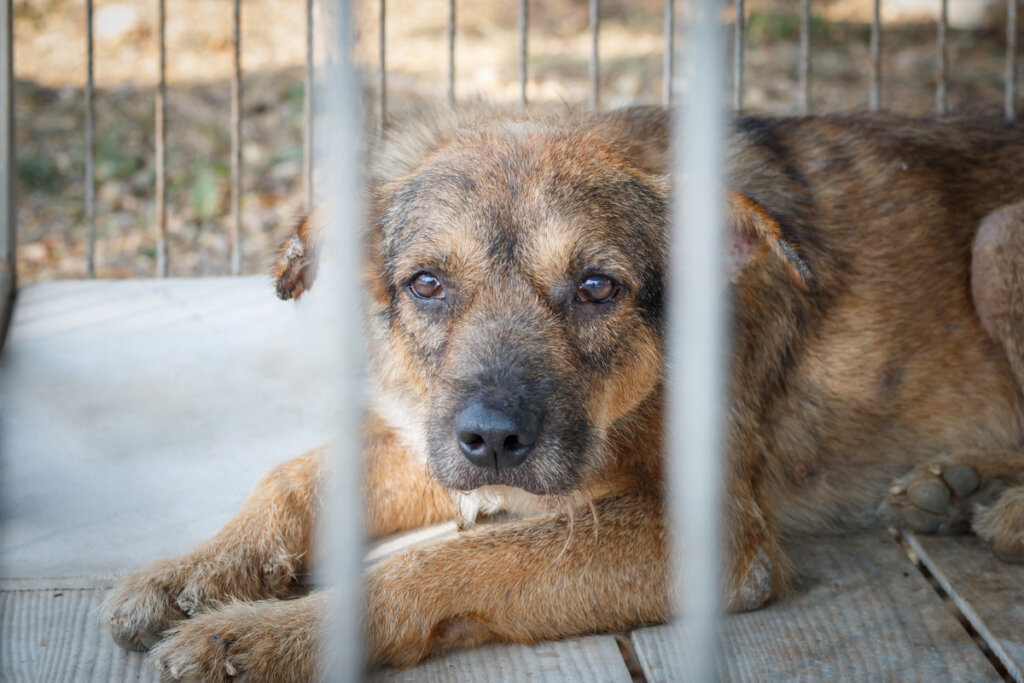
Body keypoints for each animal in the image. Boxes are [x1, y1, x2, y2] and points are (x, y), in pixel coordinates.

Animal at [99, 104, 1024, 679]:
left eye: (596, 287)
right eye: (427, 283)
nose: (493, 440)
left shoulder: (712, 529)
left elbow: (449, 561)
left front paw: (265, 636)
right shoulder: (431, 443)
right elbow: (292, 475)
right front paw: (198, 568)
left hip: (998, 237)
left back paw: (1001, 510)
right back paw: (956, 486)